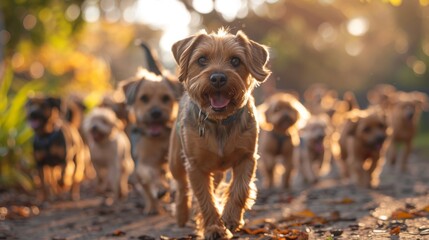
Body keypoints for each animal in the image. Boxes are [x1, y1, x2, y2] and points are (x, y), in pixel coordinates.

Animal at [122, 68, 179, 215]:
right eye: (144, 98)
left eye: (166, 98)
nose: (156, 113)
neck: (158, 137)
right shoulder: (144, 160)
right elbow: (151, 174)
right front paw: (159, 188)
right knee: (147, 189)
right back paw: (153, 206)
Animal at [168, 28, 270, 238]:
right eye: (202, 59)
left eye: (235, 61)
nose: (218, 78)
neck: (220, 122)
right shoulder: (195, 166)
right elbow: (204, 198)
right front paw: (214, 228)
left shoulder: (247, 158)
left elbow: (240, 189)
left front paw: (230, 218)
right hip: (176, 161)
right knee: (181, 187)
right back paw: (181, 214)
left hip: (216, 172)